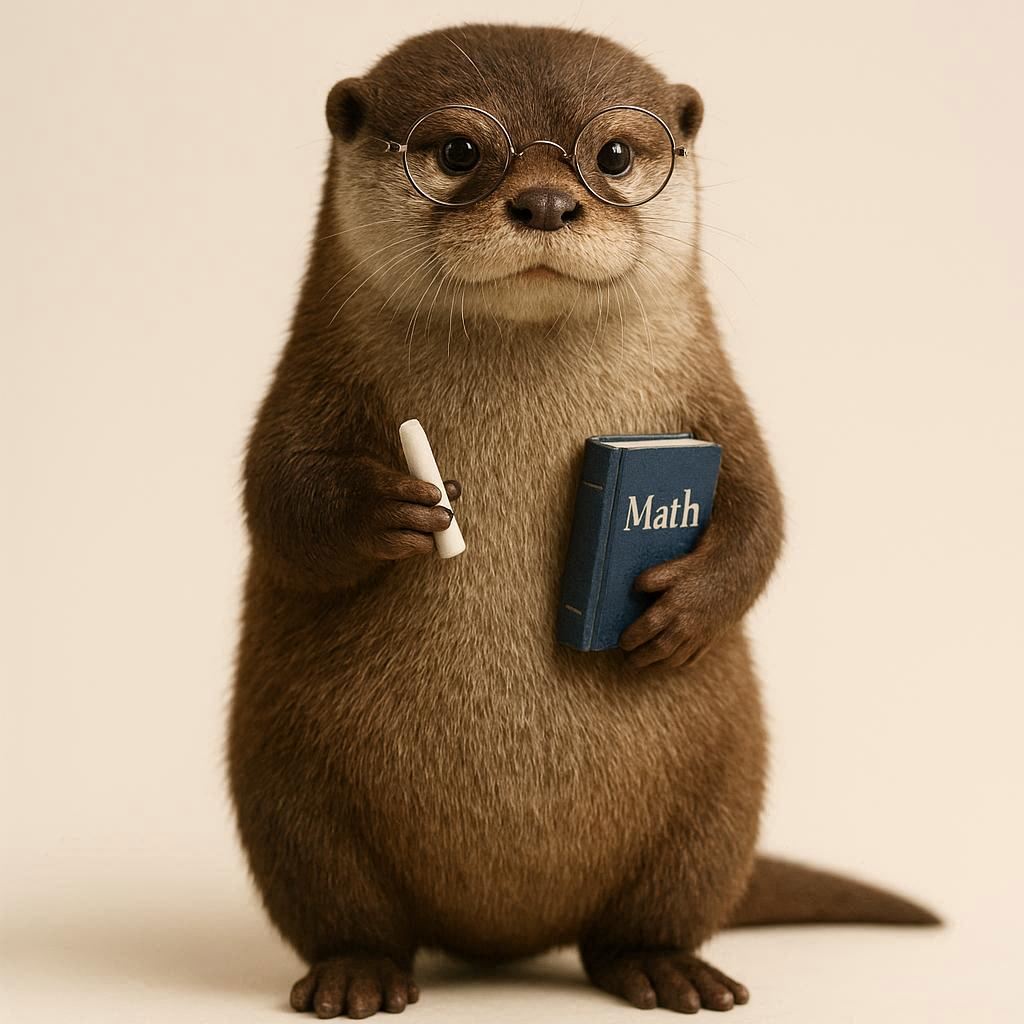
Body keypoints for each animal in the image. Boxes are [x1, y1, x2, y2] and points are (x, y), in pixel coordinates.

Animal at [229, 24, 938, 1019]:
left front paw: (682, 610)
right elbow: (278, 499)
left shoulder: (721, 406)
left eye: (611, 155)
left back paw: (668, 968)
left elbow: (766, 509)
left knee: (649, 913)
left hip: (719, 802)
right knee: (342, 906)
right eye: (459, 151)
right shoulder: (303, 389)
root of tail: (506, 935)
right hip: (289, 797)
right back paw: (355, 973)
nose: (545, 200)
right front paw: (389, 506)